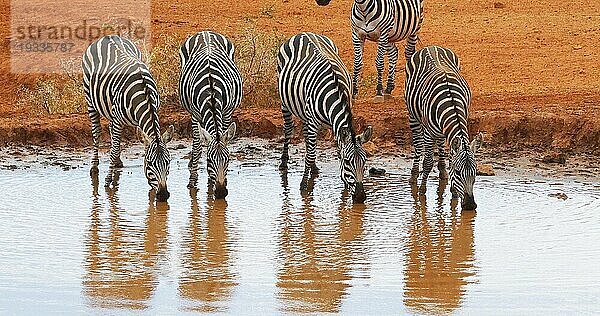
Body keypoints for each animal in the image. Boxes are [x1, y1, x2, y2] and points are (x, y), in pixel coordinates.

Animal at [81, 35, 173, 202]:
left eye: (168, 162)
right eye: (150, 163)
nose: (163, 195)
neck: (144, 94)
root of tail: (107, 36)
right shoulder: (118, 119)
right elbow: (113, 148)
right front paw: (108, 181)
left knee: (112, 134)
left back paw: (117, 162)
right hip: (90, 99)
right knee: (97, 132)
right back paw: (94, 167)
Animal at [179, 30, 243, 199]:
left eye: (228, 159)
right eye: (209, 160)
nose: (221, 193)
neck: (211, 92)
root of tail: (206, 32)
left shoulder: (226, 112)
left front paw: (212, 182)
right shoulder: (195, 115)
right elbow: (197, 147)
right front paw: (192, 181)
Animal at [278, 32, 372, 205]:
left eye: (364, 162)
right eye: (348, 162)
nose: (360, 197)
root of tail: (303, 33)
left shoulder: (337, 123)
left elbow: (335, 148)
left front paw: (344, 183)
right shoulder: (314, 122)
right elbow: (310, 155)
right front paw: (304, 186)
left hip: (304, 111)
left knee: (307, 138)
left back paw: (314, 168)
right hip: (285, 101)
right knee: (288, 129)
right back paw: (284, 162)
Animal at [404, 45, 482, 211]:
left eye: (475, 172)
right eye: (458, 172)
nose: (470, 205)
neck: (451, 102)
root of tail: (431, 46)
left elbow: (451, 157)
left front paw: (453, 192)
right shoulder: (428, 133)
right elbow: (427, 162)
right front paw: (422, 191)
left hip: (440, 130)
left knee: (440, 142)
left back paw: (442, 171)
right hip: (413, 115)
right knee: (418, 145)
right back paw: (414, 175)